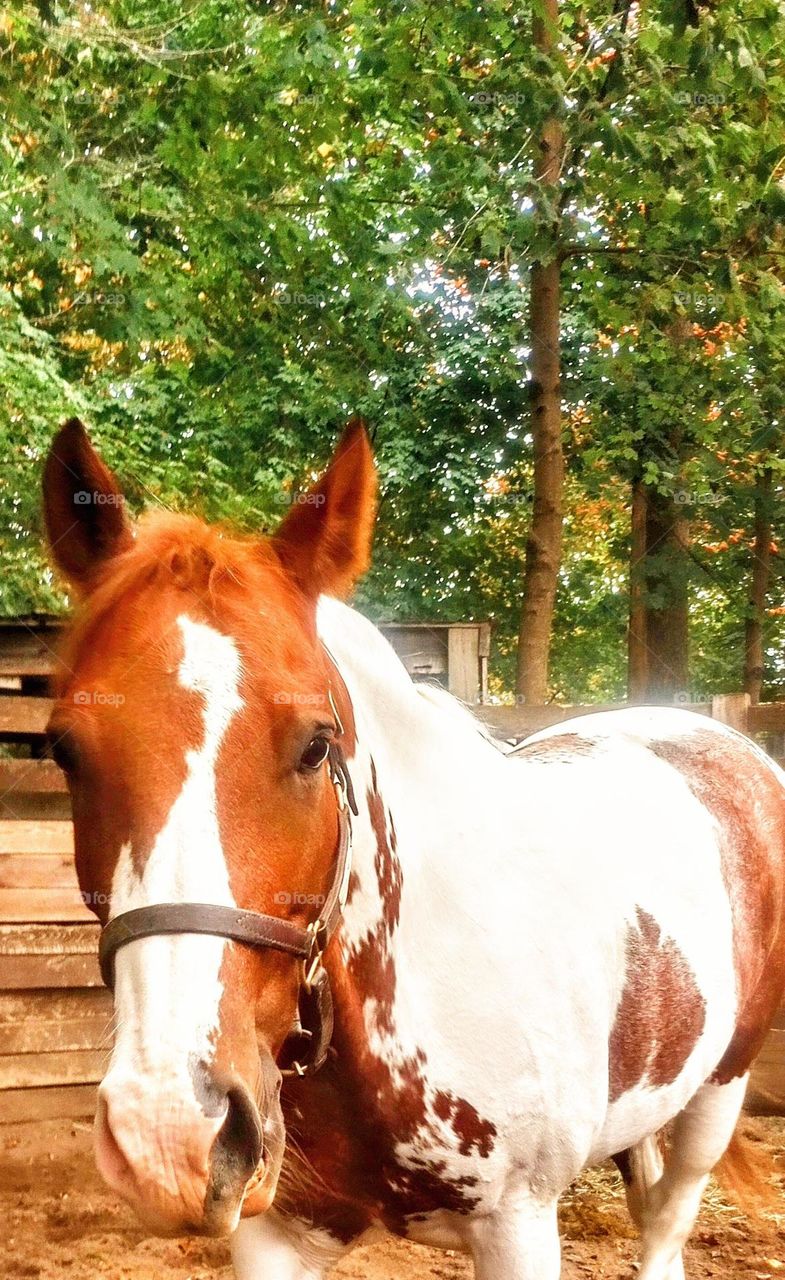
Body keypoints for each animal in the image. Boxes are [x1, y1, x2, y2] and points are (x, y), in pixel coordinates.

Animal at [44, 419, 783, 1280]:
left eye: (315, 745)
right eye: (64, 750)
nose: (167, 1136)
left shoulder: (519, 1227)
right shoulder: (279, 1231)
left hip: (718, 1093)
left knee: (666, 1225)